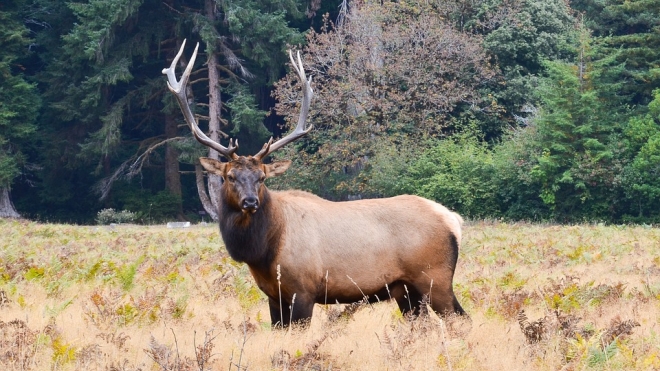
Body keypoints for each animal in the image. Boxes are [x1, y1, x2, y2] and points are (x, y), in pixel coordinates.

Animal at [164, 39, 464, 326]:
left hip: (435, 277)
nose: (250, 202)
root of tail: (453, 220)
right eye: (230, 177)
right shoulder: (273, 296)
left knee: (459, 320)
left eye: (262, 178)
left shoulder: (303, 290)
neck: (264, 251)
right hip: (405, 289)